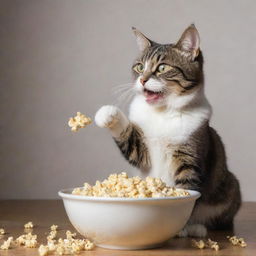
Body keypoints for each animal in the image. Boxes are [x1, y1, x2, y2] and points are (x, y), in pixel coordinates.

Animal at [94, 25, 240, 237]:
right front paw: (107, 114)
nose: (142, 80)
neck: (163, 113)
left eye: (162, 68)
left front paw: (181, 226)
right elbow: (131, 144)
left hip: (230, 187)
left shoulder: (190, 156)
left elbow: (189, 189)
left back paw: (197, 228)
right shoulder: (143, 153)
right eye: (139, 67)